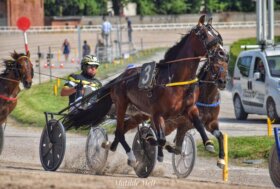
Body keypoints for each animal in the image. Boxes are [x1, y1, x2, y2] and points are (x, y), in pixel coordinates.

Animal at [94, 15, 228, 167]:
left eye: (216, 34)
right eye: (204, 34)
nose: (222, 53)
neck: (176, 81)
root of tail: (121, 77)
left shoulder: (191, 109)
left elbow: (200, 125)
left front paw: (209, 144)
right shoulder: (158, 114)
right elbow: (160, 139)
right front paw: (153, 143)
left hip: (138, 112)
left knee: (123, 129)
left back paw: (111, 145)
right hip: (121, 104)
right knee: (120, 131)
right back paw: (131, 155)